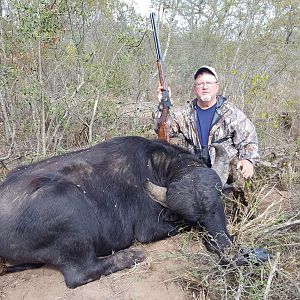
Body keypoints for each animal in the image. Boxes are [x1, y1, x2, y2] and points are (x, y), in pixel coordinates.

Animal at [0, 136, 232, 288]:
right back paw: (132, 255)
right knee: (81, 273)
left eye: (217, 205)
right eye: (194, 219)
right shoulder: (149, 229)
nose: (223, 246)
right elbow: (178, 227)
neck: (157, 166)